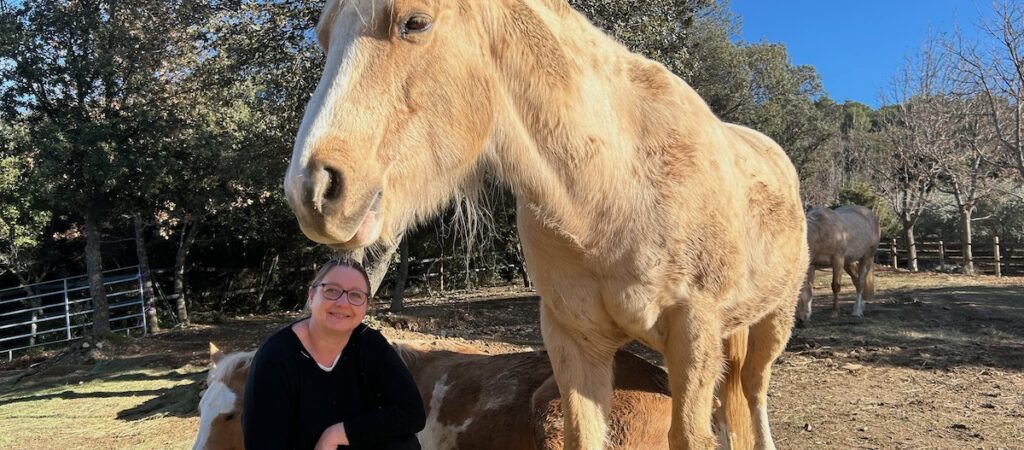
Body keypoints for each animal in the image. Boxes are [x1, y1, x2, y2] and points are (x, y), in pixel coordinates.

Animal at [282, 1, 806, 448]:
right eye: (323, 37)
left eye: (415, 22)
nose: (312, 189)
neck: (613, 191)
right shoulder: (573, 340)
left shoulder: (692, 333)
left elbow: (693, 435)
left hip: (772, 321)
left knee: (753, 391)